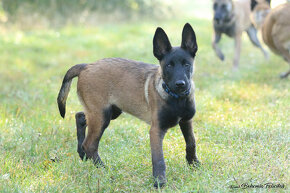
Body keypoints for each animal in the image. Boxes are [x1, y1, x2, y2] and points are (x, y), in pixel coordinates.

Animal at [57, 23, 201, 188]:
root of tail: (86, 66)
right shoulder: (156, 130)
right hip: (102, 115)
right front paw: (159, 182)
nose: (180, 84)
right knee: (90, 144)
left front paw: (194, 165)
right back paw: (104, 169)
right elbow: (158, 158)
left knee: (80, 116)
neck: (177, 99)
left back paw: (82, 155)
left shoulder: (186, 120)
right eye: (168, 66)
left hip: (109, 111)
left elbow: (191, 142)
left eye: (187, 65)